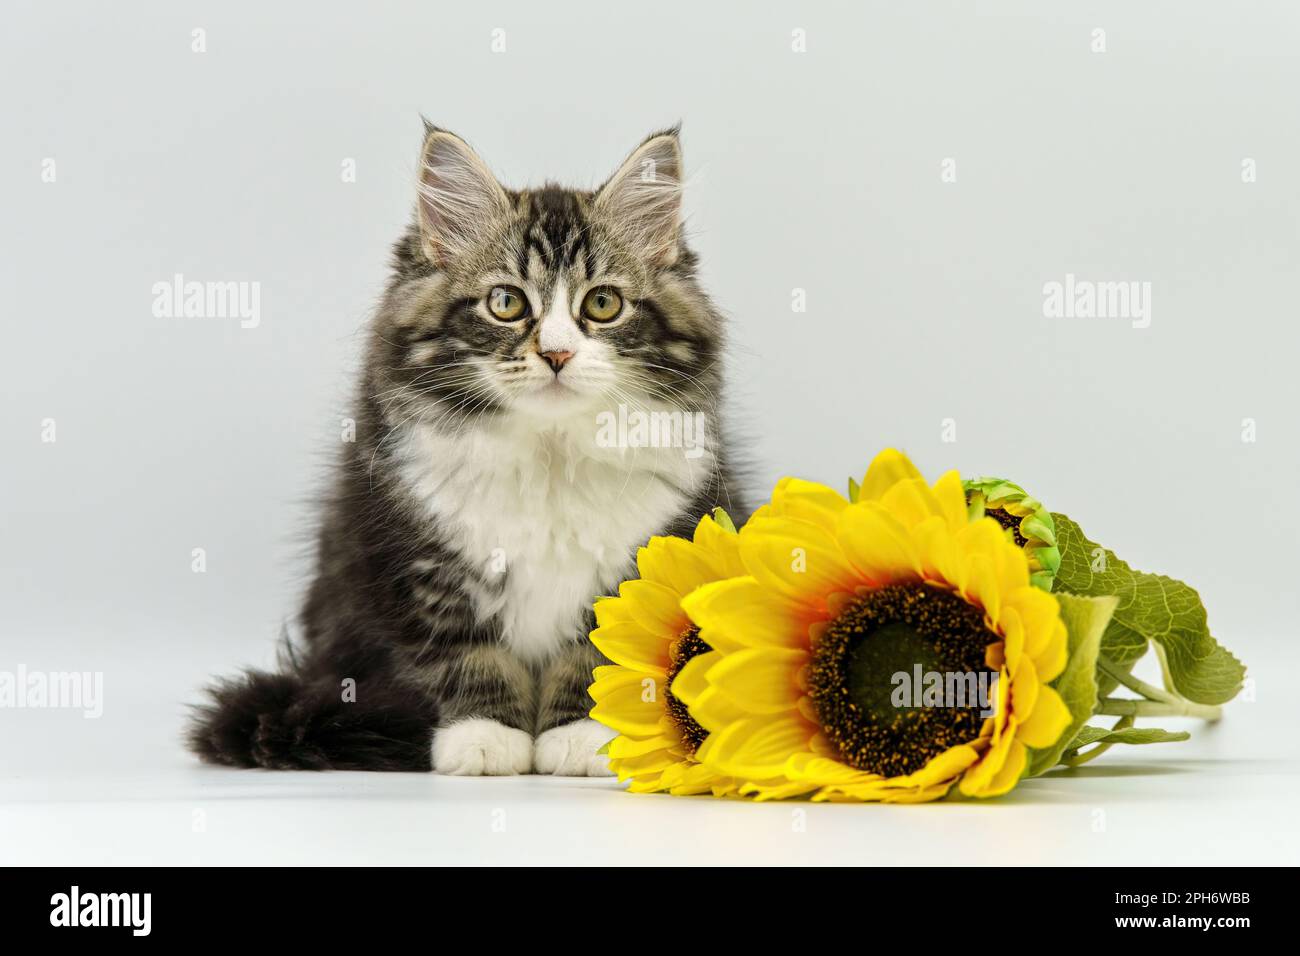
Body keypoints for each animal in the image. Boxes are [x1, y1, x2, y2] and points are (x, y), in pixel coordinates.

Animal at [188, 121, 748, 780]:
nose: (557, 353)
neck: (549, 454)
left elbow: (593, 656)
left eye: (602, 304)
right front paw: (484, 737)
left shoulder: (641, 554)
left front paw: (581, 737)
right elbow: (462, 655)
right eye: (506, 303)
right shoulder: (414, 557)